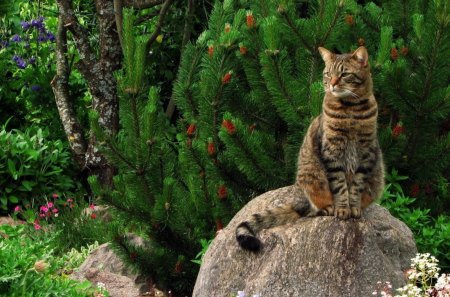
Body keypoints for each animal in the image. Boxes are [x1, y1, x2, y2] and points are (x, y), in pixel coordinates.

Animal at [234, 45, 384, 250]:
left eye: (344, 74)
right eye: (328, 74)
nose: (332, 84)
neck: (351, 110)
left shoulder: (366, 152)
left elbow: (355, 186)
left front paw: (353, 208)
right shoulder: (331, 152)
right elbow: (340, 186)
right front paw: (342, 209)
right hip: (312, 178)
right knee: (315, 209)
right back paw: (328, 208)